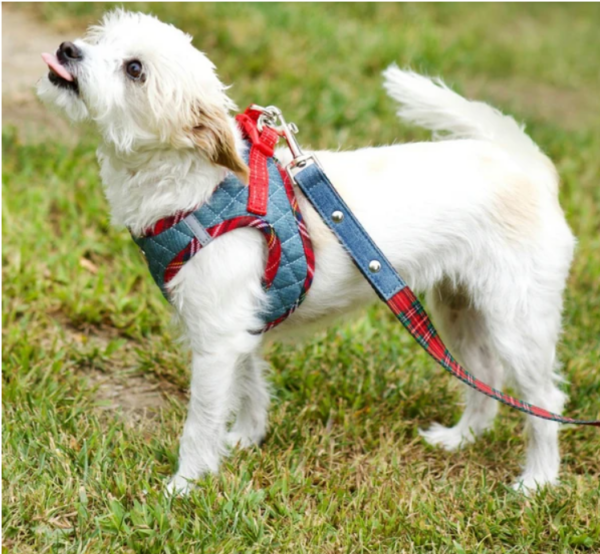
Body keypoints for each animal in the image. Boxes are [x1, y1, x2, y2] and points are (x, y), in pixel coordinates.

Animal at [38, 9, 576, 492]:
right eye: (99, 39)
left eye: (135, 69)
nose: (66, 50)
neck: (198, 187)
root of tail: (525, 164)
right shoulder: (242, 326)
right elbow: (250, 387)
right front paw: (246, 439)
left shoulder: (216, 340)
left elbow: (201, 421)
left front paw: (184, 486)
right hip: (458, 309)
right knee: (484, 376)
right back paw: (462, 438)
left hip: (519, 323)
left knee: (545, 402)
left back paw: (537, 481)